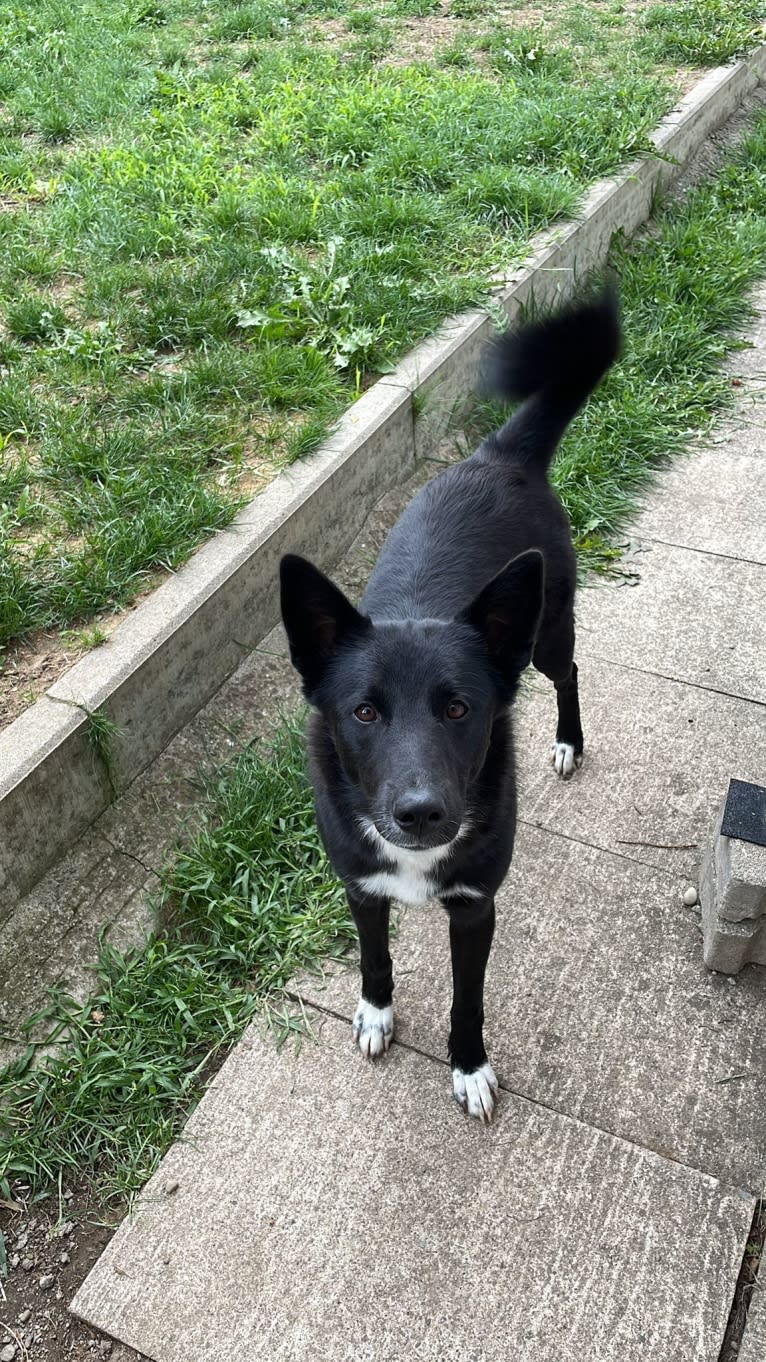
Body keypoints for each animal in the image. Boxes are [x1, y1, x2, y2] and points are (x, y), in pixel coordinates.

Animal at [280, 292, 621, 1122]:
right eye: (363, 713)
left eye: (460, 710)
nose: (420, 814)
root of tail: (497, 455)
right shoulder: (361, 887)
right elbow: (374, 960)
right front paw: (376, 1014)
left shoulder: (474, 908)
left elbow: (469, 1001)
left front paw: (468, 1066)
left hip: (546, 636)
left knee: (568, 671)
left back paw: (568, 742)